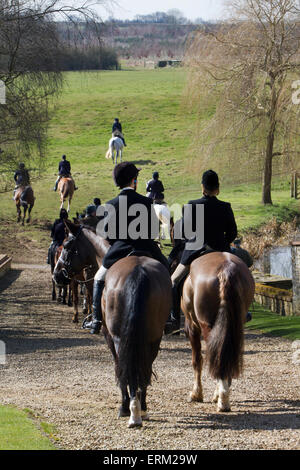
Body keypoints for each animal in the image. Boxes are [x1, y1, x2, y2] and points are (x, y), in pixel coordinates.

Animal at [52, 222, 172, 428]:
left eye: (67, 245)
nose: (57, 275)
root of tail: (138, 272)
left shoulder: (108, 335)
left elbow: (118, 366)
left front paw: (124, 407)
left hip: (118, 336)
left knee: (123, 365)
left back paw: (130, 410)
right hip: (154, 335)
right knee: (145, 366)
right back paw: (142, 408)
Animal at [179, 253, 254, 412]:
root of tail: (226, 269)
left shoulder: (192, 326)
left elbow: (197, 360)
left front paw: (196, 394)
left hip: (207, 327)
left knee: (216, 357)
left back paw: (222, 400)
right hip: (234, 326)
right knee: (226, 357)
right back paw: (222, 395)